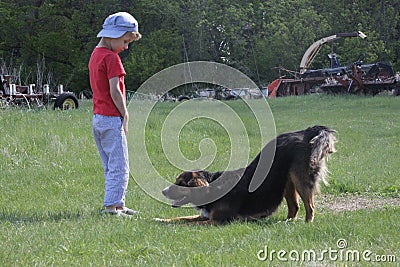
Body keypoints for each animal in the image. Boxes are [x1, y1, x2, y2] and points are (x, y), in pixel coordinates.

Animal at [159, 125, 338, 224]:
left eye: (181, 184)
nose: (163, 191)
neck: (212, 188)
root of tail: (306, 132)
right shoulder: (205, 216)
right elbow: (182, 218)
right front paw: (161, 220)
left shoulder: (218, 221)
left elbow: (188, 223)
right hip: (286, 180)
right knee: (294, 207)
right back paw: (286, 223)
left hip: (300, 178)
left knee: (310, 207)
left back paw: (306, 223)